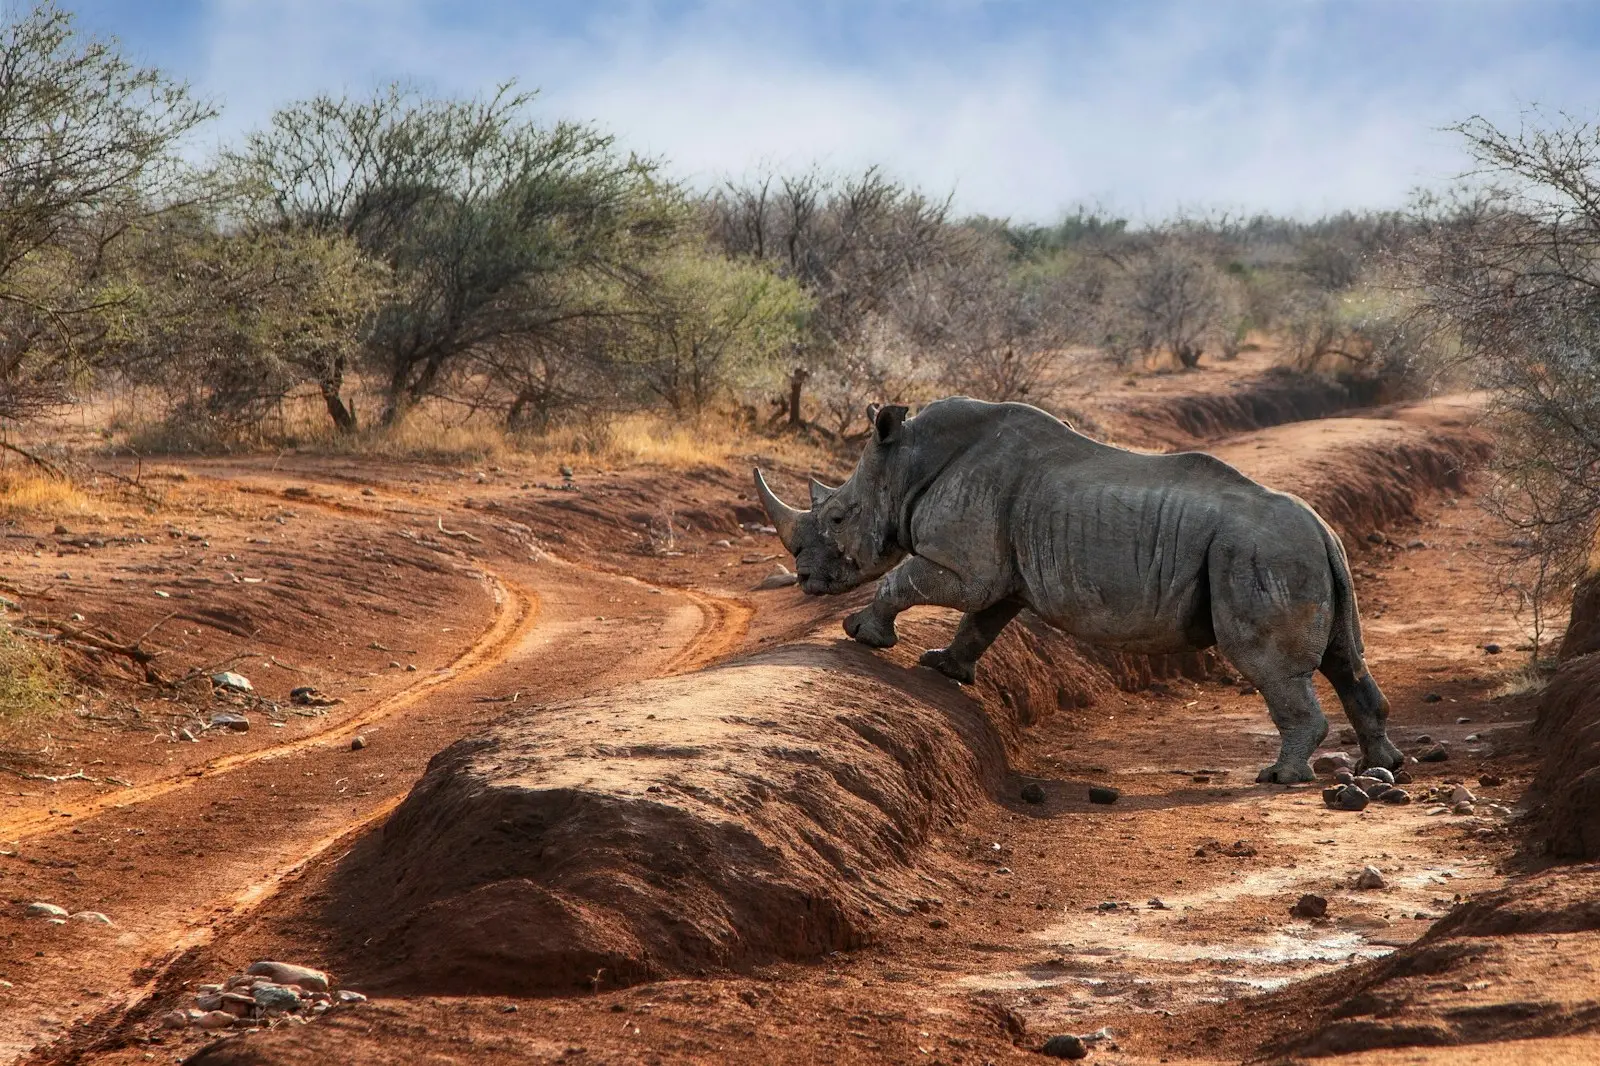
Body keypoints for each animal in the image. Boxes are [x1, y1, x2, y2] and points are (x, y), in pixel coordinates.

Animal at [753, 397, 1403, 784]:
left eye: (838, 517)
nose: (806, 579)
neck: (908, 463)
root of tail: (1324, 531)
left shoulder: (969, 563)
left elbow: (907, 577)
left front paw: (862, 636)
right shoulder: (1003, 572)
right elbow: (981, 622)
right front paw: (943, 667)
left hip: (1260, 555)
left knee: (1270, 668)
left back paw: (1279, 778)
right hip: (1306, 558)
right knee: (1347, 659)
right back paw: (1383, 768)